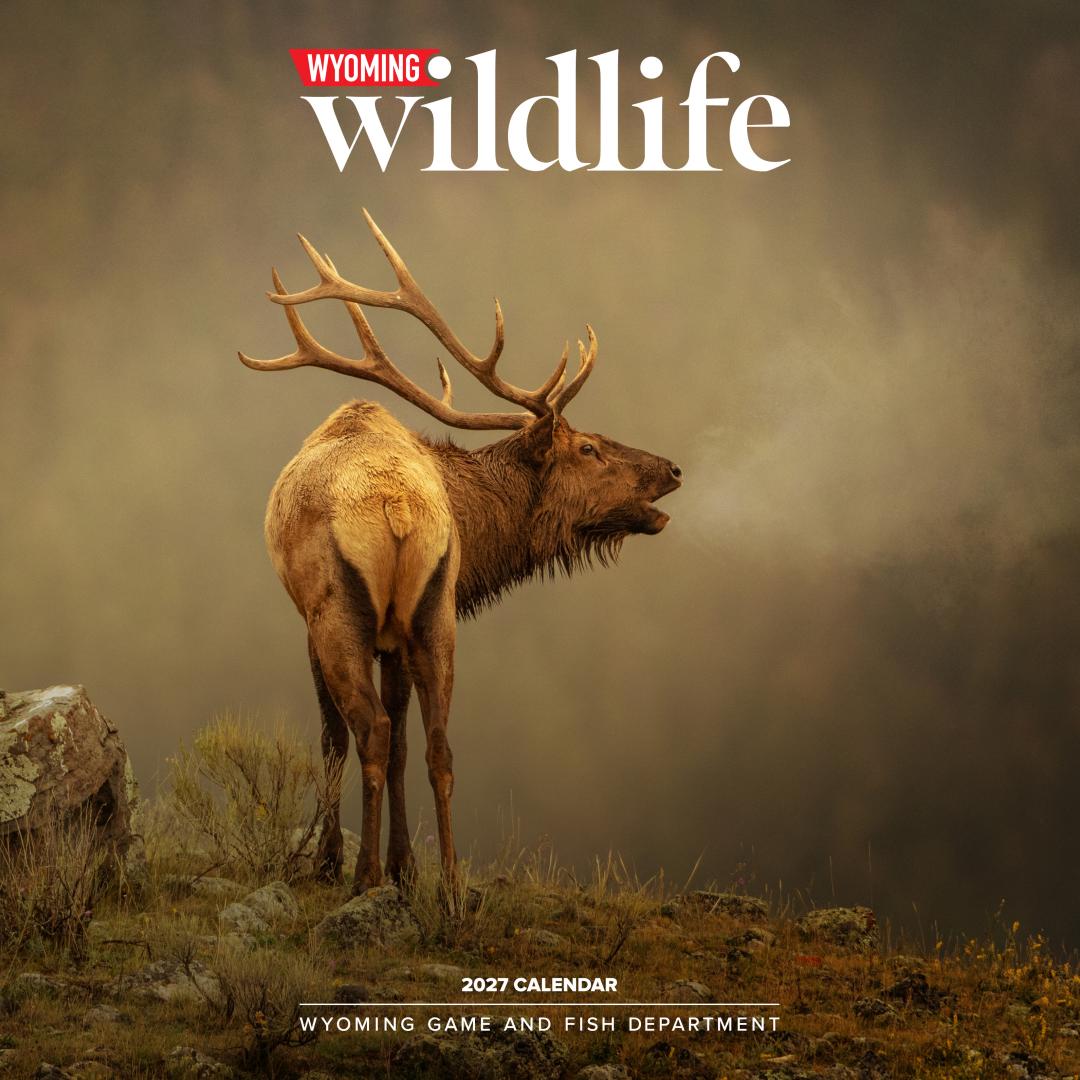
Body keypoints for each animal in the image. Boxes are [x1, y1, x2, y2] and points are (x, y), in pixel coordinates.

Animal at [239, 211, 682, 894]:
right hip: (432, 616)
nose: (672, 469)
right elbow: (401, 744)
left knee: (371, 730)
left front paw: (334, 860)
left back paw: (364, 874)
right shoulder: (400, 631)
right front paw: (406, 867)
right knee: (435, 744)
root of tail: (396, 506)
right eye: (587, 448)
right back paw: (446, 886)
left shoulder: (312, 625)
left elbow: (334, 738)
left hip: (338, 615)